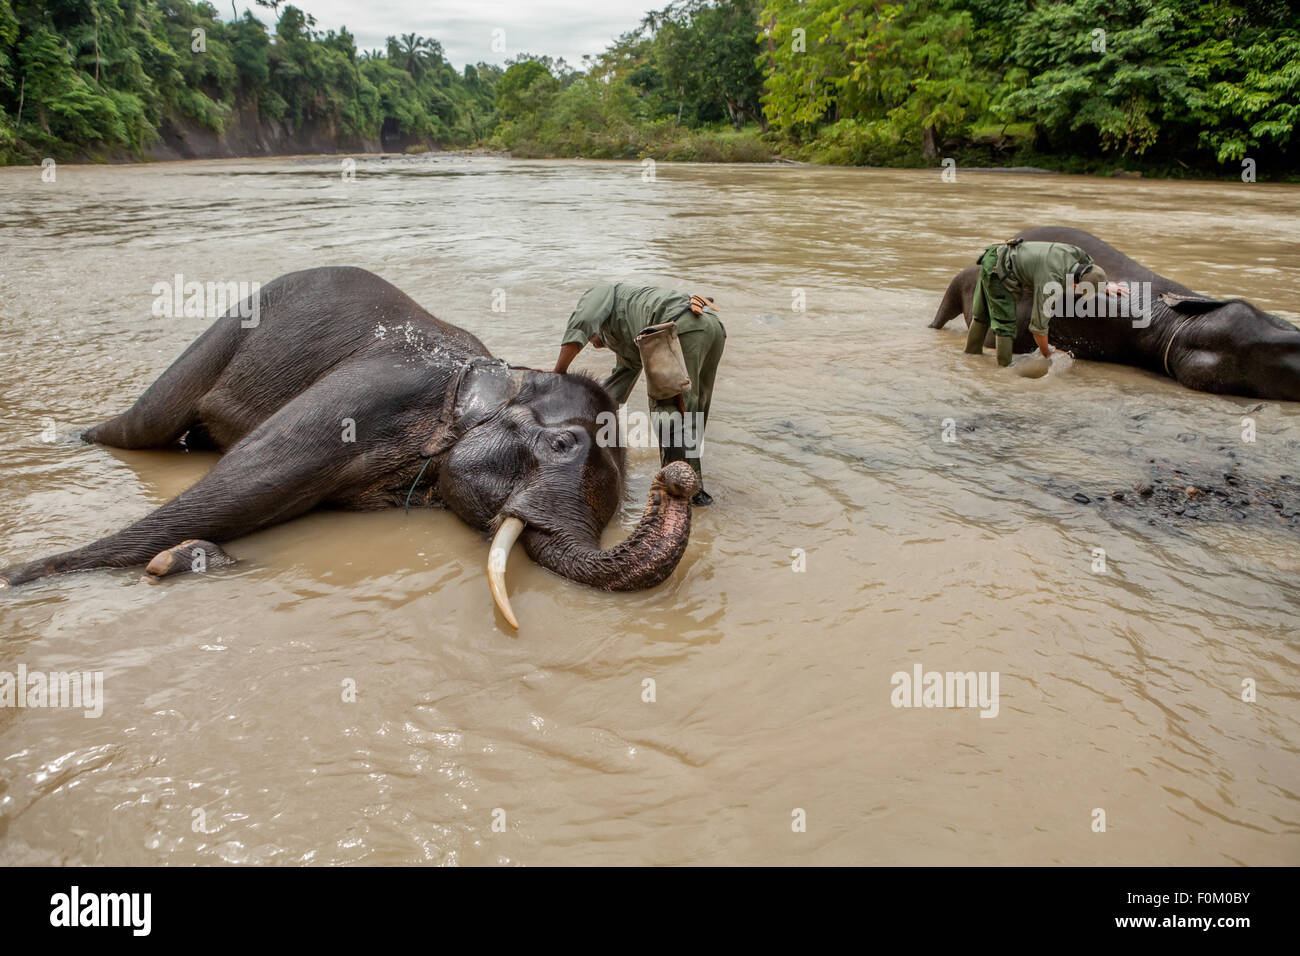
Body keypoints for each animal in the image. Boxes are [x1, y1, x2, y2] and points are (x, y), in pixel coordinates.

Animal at [2, 269, 702, 629]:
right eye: (560, 443)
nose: (679, 479)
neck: (500, 372)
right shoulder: (369, 395)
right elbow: (234, 489)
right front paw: (25, 576)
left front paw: (183, 560)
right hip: (222, 335)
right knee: (143, 428)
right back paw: (74, 437)